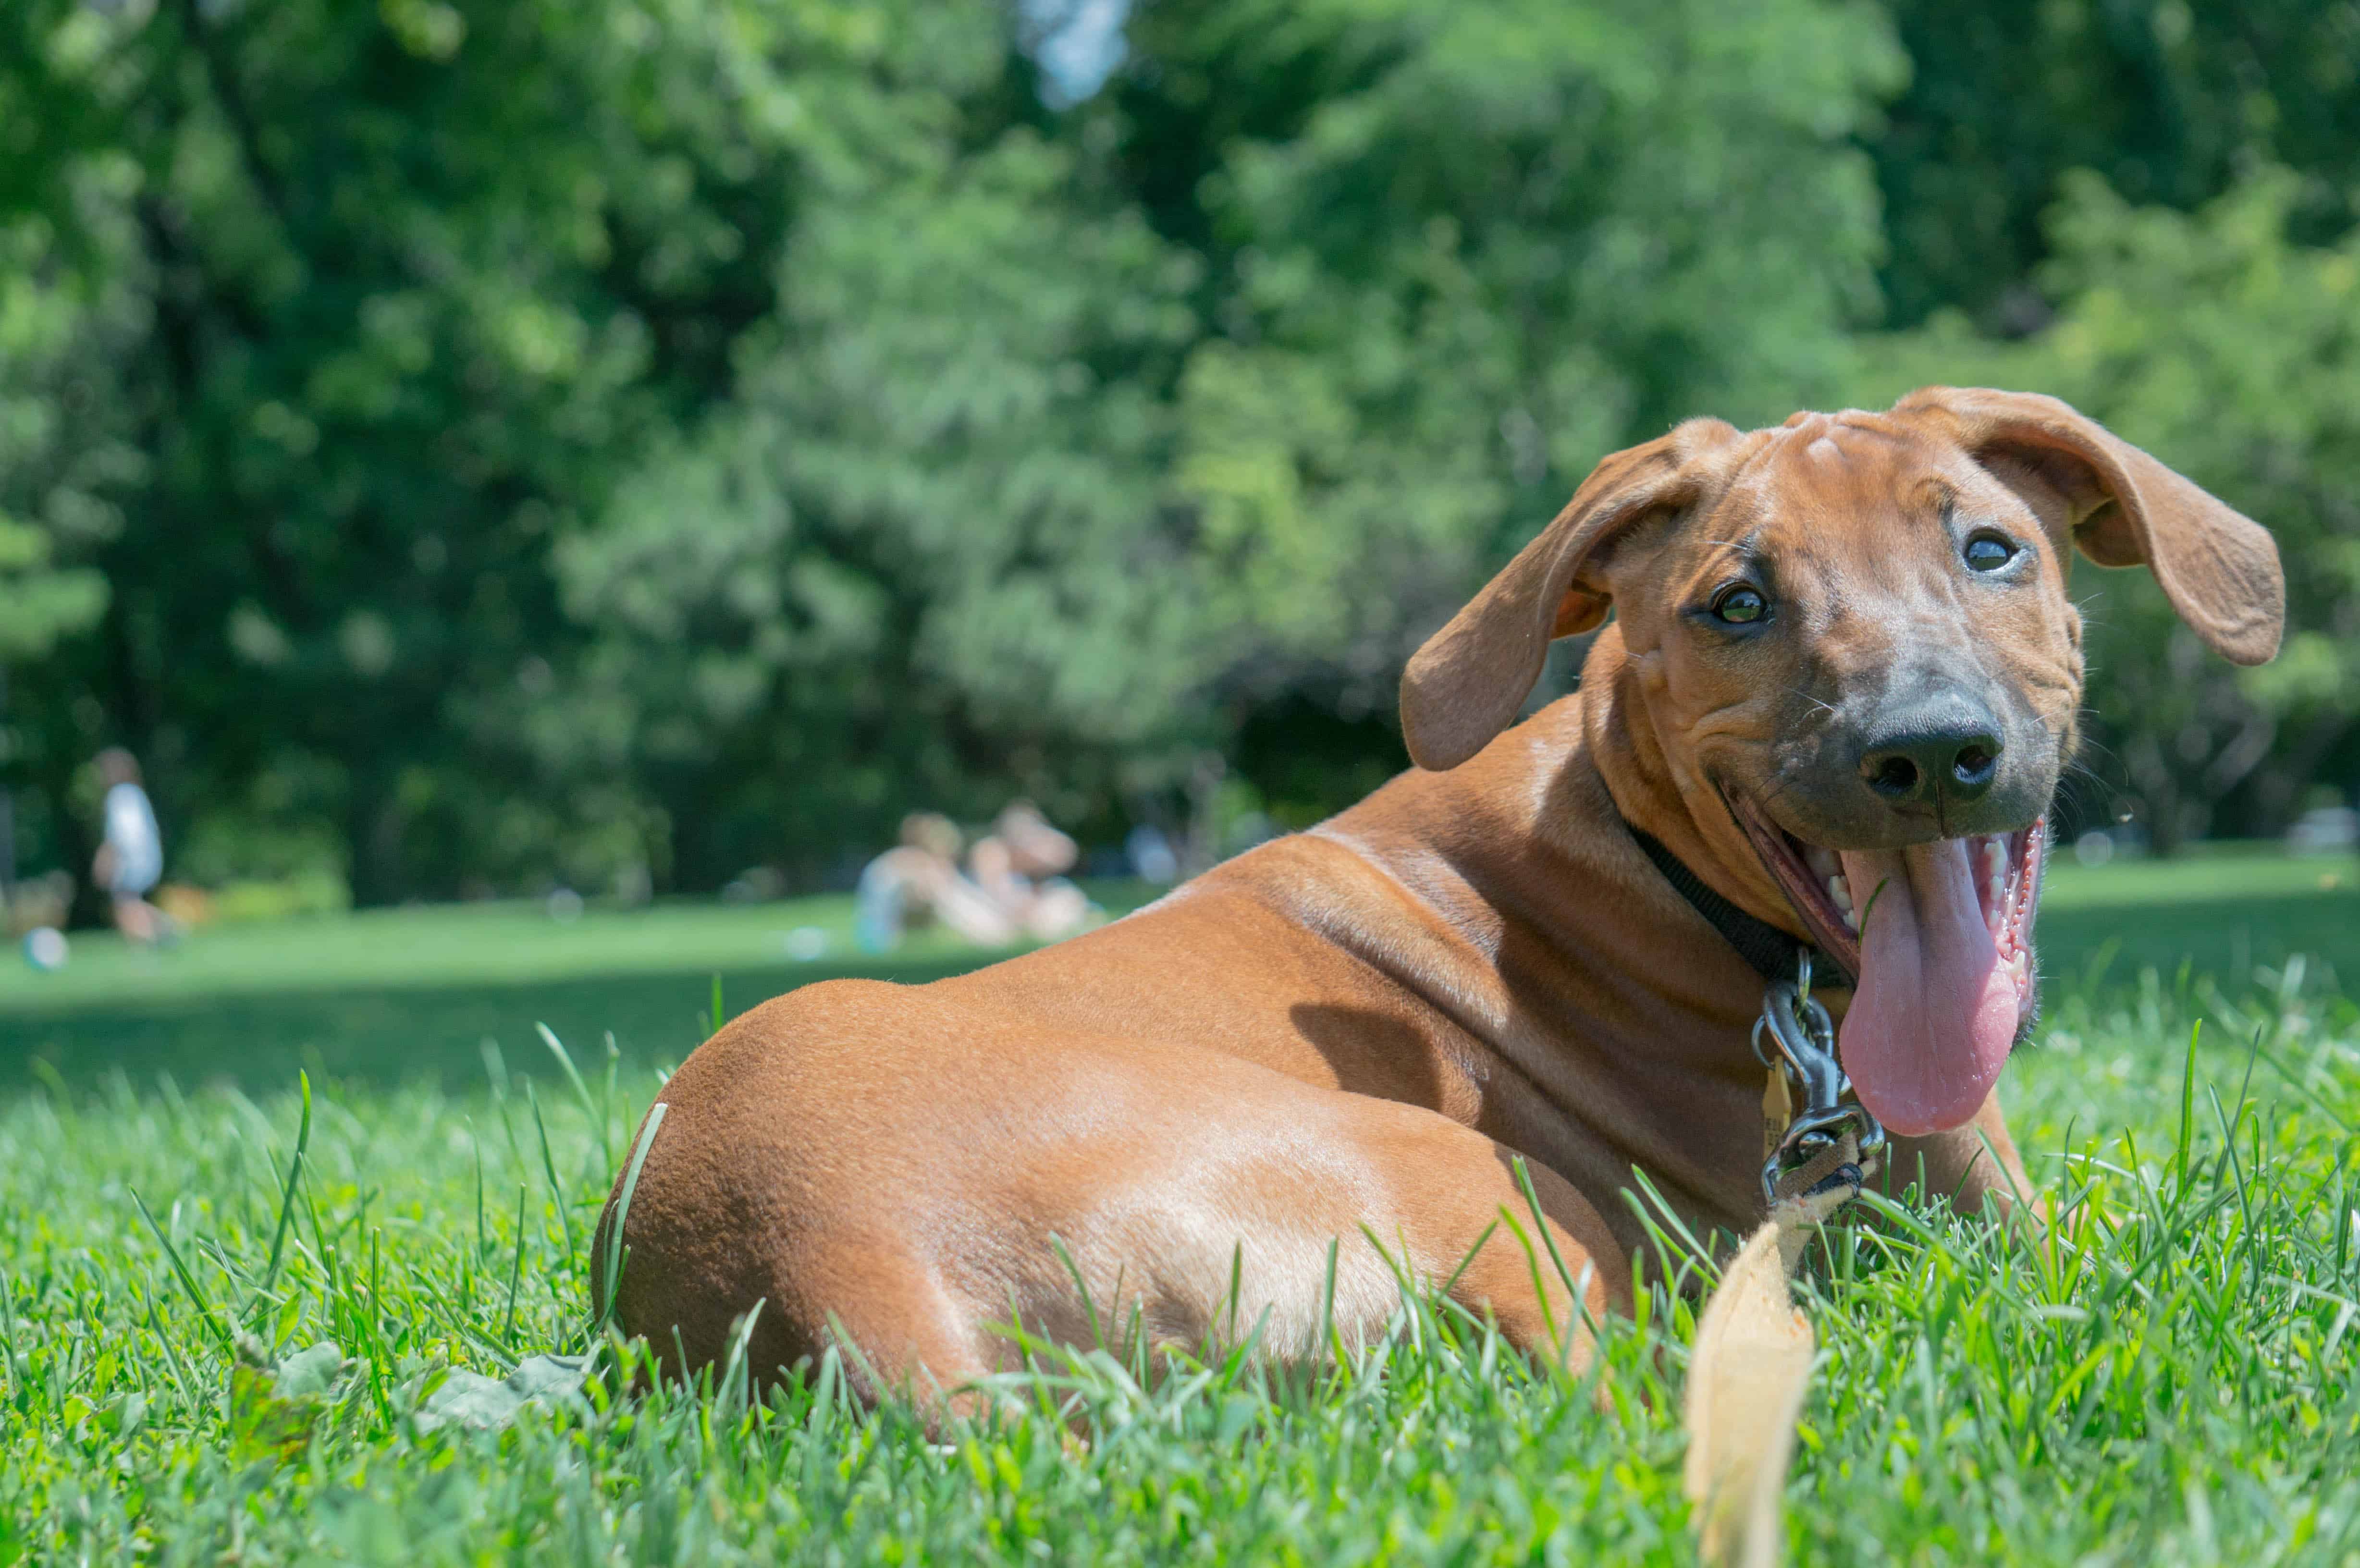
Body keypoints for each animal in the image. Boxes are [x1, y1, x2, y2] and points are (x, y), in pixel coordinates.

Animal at [599, 385, 2275, 1398]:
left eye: (1990, 549)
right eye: (1737, 604)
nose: (1923, 751)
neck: (1666, 869)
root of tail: (846, 1277)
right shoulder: (2005, 1237)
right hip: (1488, 1189)